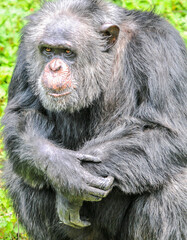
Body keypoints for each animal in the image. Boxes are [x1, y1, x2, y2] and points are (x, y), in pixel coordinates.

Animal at [1, 0, 187, 240]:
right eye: (48, 50)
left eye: (67, 52)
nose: (54, 67)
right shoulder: (27, 47)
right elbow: (23, 113)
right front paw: (65, 170)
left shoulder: (160, 48)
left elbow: (168, 131)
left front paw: (78, 181)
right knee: (23, 171)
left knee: (174, 185)